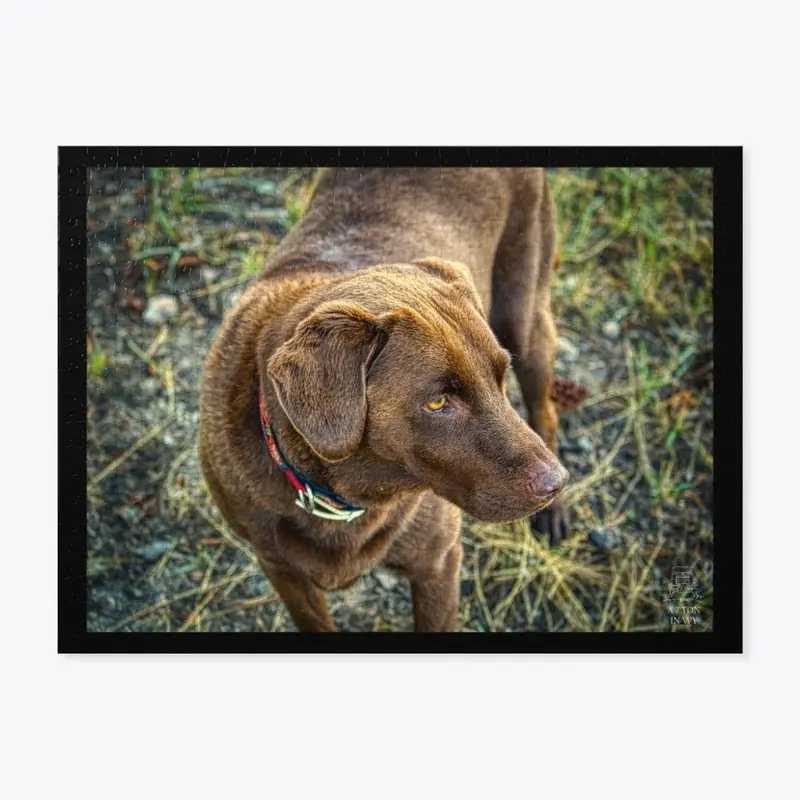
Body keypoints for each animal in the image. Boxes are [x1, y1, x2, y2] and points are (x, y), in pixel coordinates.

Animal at [200, 169, 576, 632]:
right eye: (438, 403)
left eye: (498, 377)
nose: (556, 482)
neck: (345, 499)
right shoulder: (281, 569)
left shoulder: (437, 565)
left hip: (524, 312)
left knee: (544, 407)